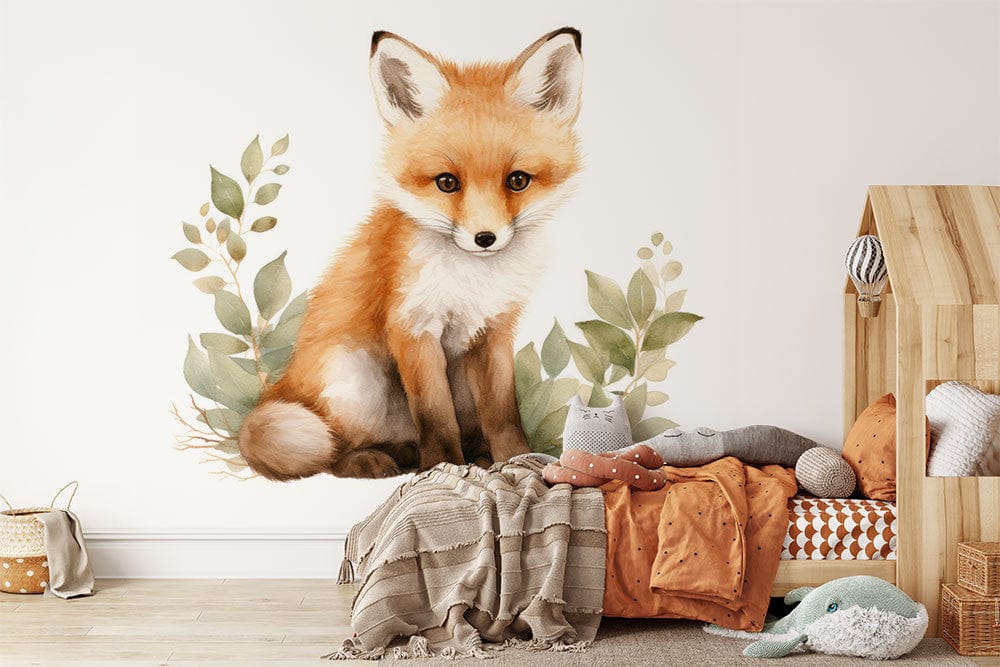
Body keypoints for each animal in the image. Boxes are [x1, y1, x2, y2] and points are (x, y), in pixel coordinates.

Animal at [238, 28, 584, 480]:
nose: (485, 237)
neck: (471, 281)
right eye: (447, 182)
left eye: (518, 180)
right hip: (355, 379)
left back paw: (460, 455)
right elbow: (435, 415)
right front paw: (441, 467)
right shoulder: (413, 328)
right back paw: (374, 460)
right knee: (333, 452)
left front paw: (516, 461)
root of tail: (279, 386)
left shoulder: (494, 330)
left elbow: (503, 414)